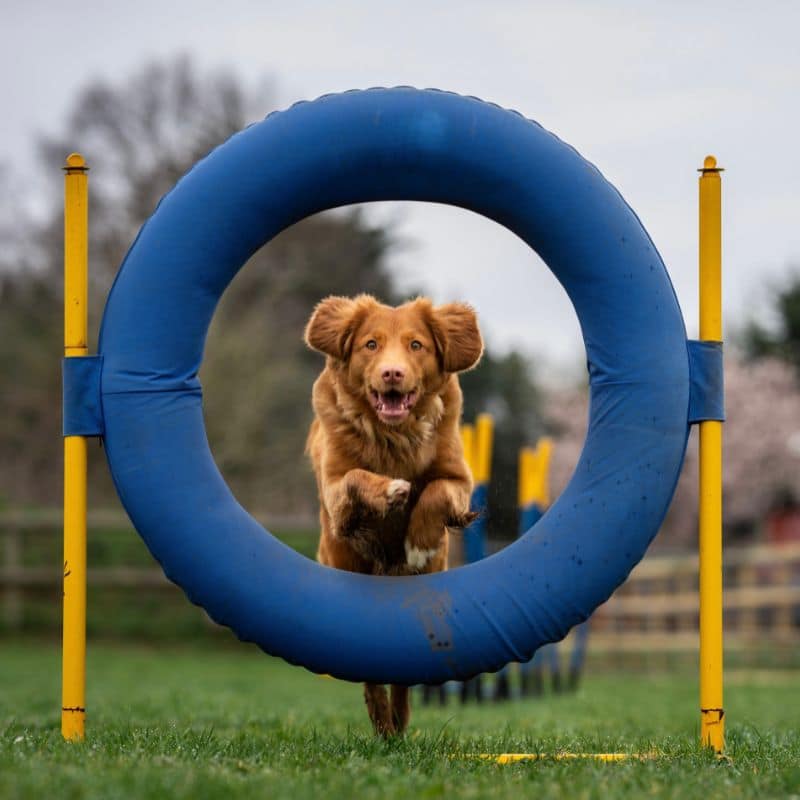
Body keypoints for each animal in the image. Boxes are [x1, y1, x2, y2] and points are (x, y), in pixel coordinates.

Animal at [304, 290, 482, 736]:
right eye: (371, 344)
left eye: (416, 345)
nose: (392, 374)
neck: (393, 435)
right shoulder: (336, 488)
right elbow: (356, 477)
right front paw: (390, 491)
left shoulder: (458, 477)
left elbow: (435, 491)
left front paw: (416, 541)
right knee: (370, 669)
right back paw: (383, 722)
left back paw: (398, 720)